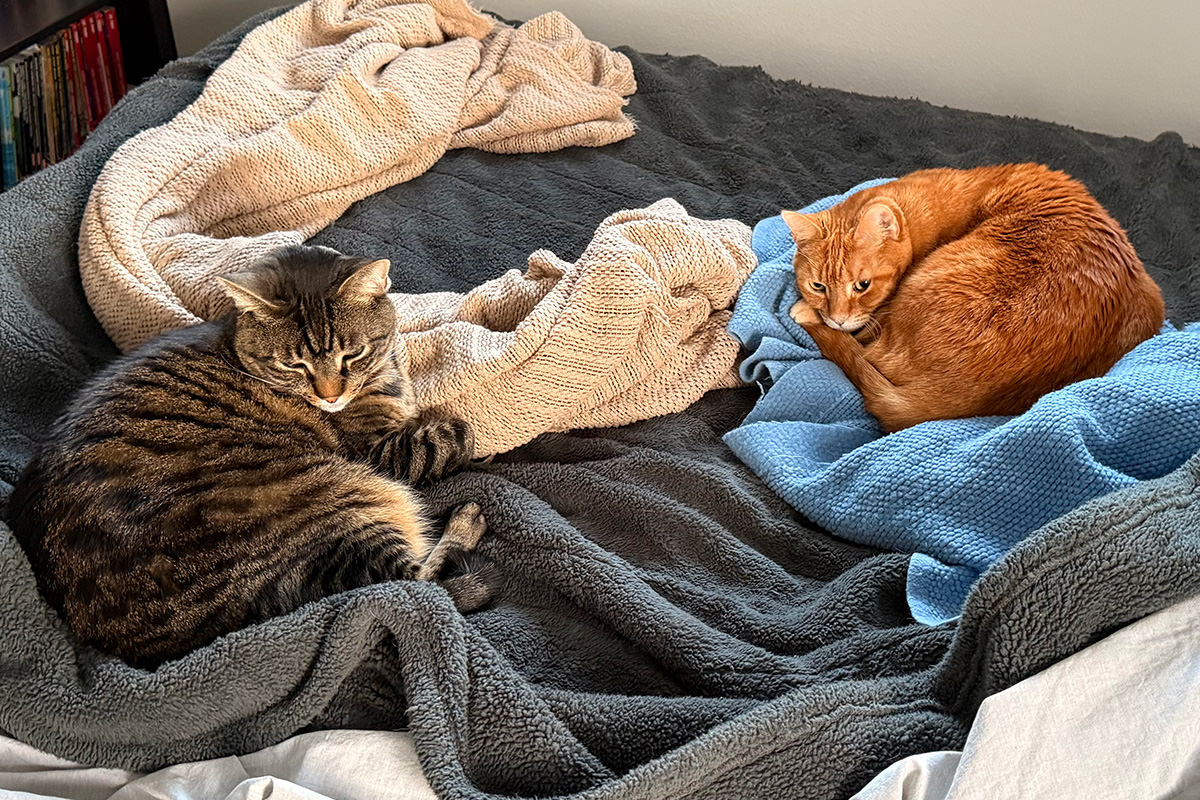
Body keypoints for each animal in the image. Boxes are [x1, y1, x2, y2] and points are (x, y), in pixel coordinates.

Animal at [9, 245, 487, 671]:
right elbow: (457, 432)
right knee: (419, 585)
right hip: (343, 501)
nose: (329, 396)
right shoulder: (378, 453)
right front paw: (459, 428)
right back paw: (468, 519)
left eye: (352, 354)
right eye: (294, 366)